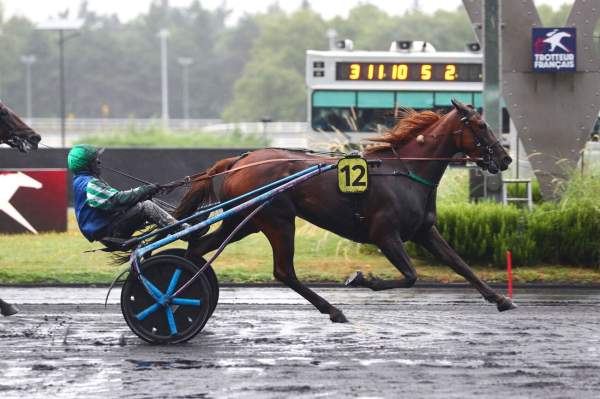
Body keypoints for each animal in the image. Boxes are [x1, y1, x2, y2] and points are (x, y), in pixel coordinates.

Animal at [176, 101, 512, 324]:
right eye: (481, 125)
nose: (506, 159)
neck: (405, 172)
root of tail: (239, 161)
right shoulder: (385, 234)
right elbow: (410, 276)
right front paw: (363, 278)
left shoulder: (424, 232)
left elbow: (459, 264)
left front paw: (500, 298)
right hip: (278, 220)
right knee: (284, 271)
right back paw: (333, 309)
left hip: (245, 221)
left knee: (198, 248)